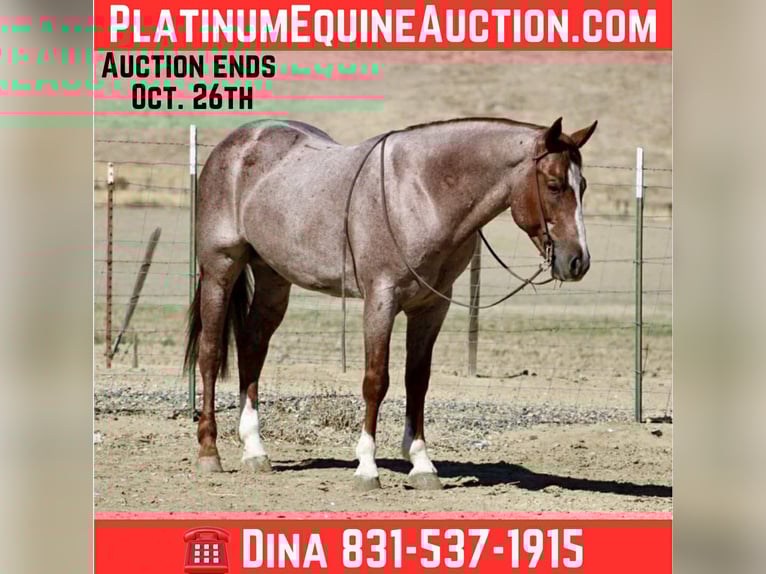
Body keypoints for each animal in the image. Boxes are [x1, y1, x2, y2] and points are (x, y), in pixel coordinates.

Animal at [184, 116, 597, 490]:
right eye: (554, 184)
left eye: (583, 186)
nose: (578, 261)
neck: (422, 191)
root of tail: (238, 143)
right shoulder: (380, 300)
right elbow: (376, 381)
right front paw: (367, 468)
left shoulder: (431, 308)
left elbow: (417, 380)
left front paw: (422, 465)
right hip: (221, 270)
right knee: (210, 355)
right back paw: (209, 452)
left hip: (272, 278)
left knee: (252, 348)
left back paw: (255, 450)